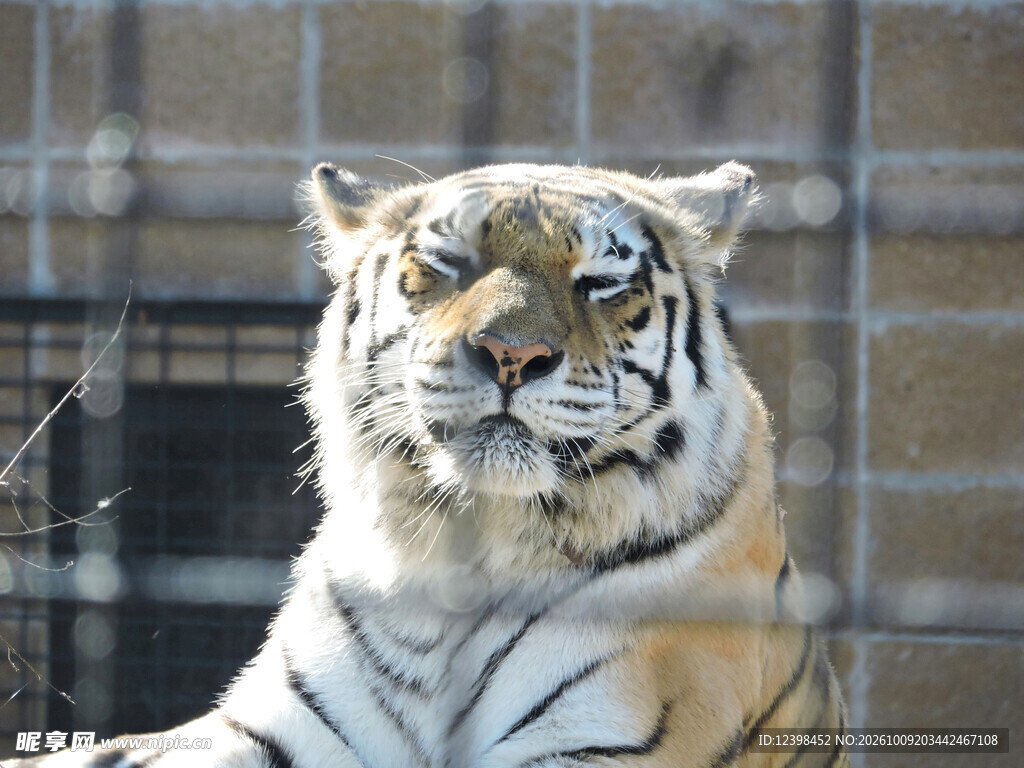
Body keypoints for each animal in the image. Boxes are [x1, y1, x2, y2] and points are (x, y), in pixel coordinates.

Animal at [8, 162, 847, 767]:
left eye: (600, 283)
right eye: (449, 263)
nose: (512, 354)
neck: (466, 544)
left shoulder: (606, 738)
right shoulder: (272, 730)